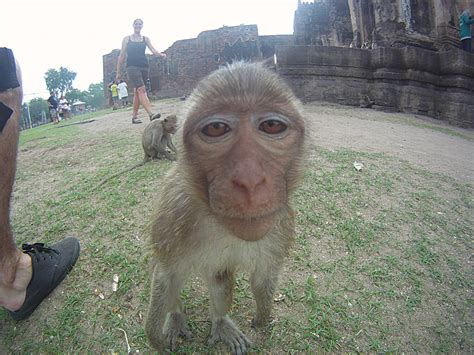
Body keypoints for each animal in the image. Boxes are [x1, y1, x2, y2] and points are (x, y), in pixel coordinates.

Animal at [145, 62, 308, 354]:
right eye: (216, 129)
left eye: (272, 125)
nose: (250, 179)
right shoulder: (175, 210)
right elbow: (166, 273)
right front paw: (155, 337)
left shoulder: (280, 221)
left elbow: (263, 276)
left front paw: (262, 316)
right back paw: (175, 317)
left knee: (220, 281)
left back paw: (221, 323)